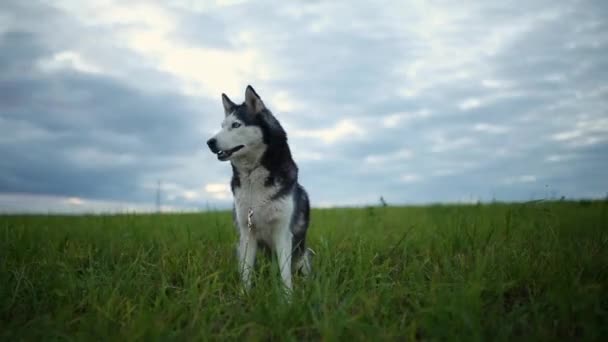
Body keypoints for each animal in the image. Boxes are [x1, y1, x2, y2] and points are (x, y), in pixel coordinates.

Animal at [208, 85, 314, 294]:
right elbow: (246, 274)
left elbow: (285, 275)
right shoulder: (247, 233)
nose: (210, 142)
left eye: (236, 125)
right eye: (222, 125)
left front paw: (288, 298)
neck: (253, 178)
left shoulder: (283, 232)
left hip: (303, 256)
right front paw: (244, 296)